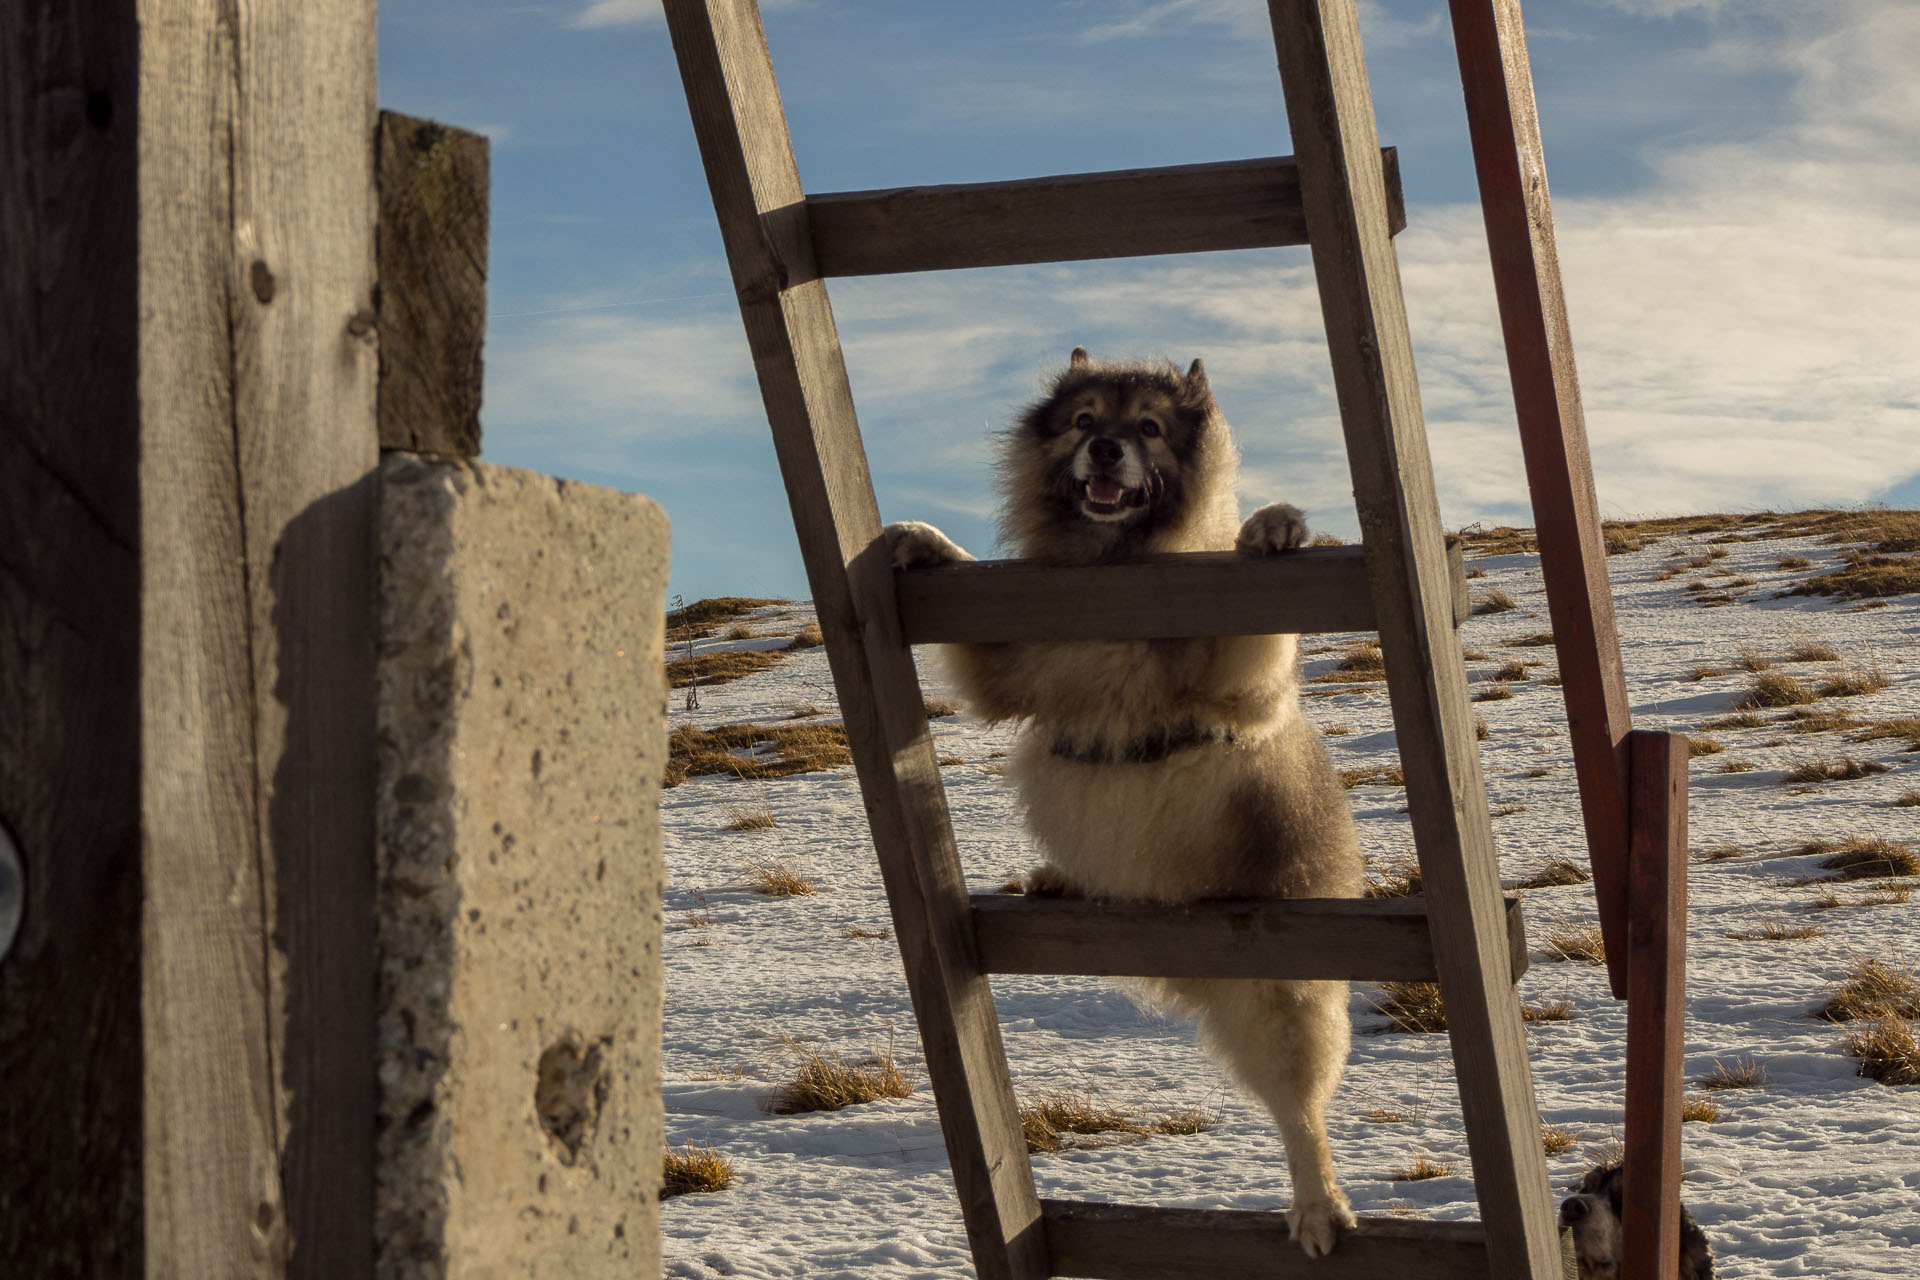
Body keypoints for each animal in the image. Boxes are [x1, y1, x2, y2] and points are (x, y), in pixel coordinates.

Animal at [883, 345, 1367, 1258]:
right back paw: (1060, 880)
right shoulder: (1009, 665)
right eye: (1084, 421)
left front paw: (1272, 526)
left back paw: (1318, 1203)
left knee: (1302, 1116)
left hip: (1279, 994)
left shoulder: (1237, 690)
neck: (1114, 576)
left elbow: (1251, 641)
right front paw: (930, 544)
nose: (1105, 447)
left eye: (1147, 428)